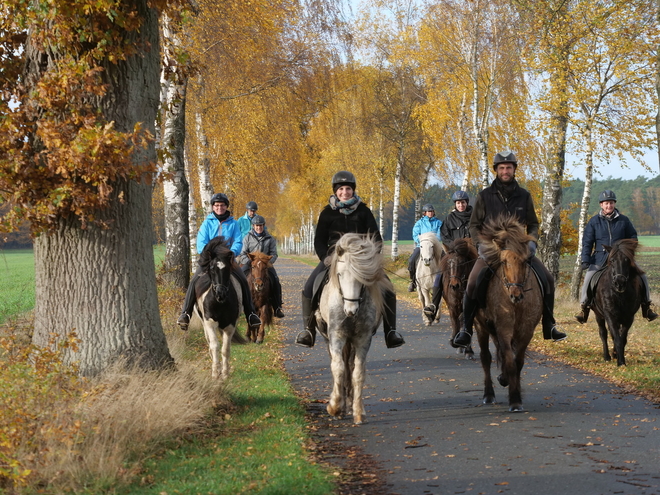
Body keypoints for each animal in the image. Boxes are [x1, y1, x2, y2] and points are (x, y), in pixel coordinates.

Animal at [196, 236, 250, 380]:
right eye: (212, 269)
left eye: (227, 270)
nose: (220, 293)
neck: (219, 303)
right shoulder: (209, 323)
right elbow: (215, 346)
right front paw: (216, 372)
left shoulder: (230, 325)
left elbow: (225, 349)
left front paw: (225, 373)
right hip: (204, 323)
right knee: (210, 343)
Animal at [316, 234, 390, 424]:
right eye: (339, 274)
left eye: (362, 277)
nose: (351, 311)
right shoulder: (336, 336)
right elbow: (338, 368)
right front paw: (334, 406)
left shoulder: (363, 339)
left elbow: (358, 372)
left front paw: (358, 411)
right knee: (338, 365)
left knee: (349, 366)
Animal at [474, 215, 540, 412]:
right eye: (504, 261)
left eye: (526, 261)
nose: (515, 295)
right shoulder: (503, 328)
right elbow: (510, 361)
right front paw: (515, 399)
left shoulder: (526, 330)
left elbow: (517, 362)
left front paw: (514, 391)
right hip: (480, 326)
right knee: (485, 357)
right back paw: (489, 395)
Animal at [592, 238, 640, 366]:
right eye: (612, 260)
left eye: (627, 260)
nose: (620, 283)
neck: (619, 295)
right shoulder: (610, 315)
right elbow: (617, 338)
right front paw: (621, 362)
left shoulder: (629, 317)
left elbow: (622, 338)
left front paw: (618, 356)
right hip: (599, 315)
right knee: (603, 333)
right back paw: (607, 356)